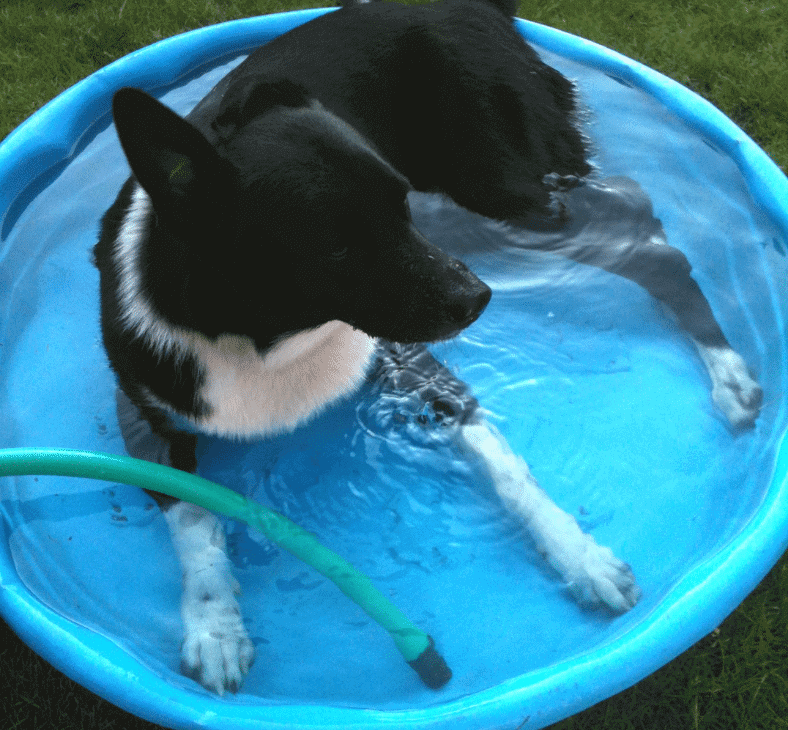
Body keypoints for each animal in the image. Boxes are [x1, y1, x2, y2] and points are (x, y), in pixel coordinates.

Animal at [94, 0, 764, 692]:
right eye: (336, 245)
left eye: (398, 207)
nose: (480, 299)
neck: (270, 342)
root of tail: (475, 8)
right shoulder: (142, 415)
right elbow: (194, 521)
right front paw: (215, 625)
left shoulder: (408, 359)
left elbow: (504, 463)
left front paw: (579, 555)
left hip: (502, 196)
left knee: (644, 229)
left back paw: (728, 373)